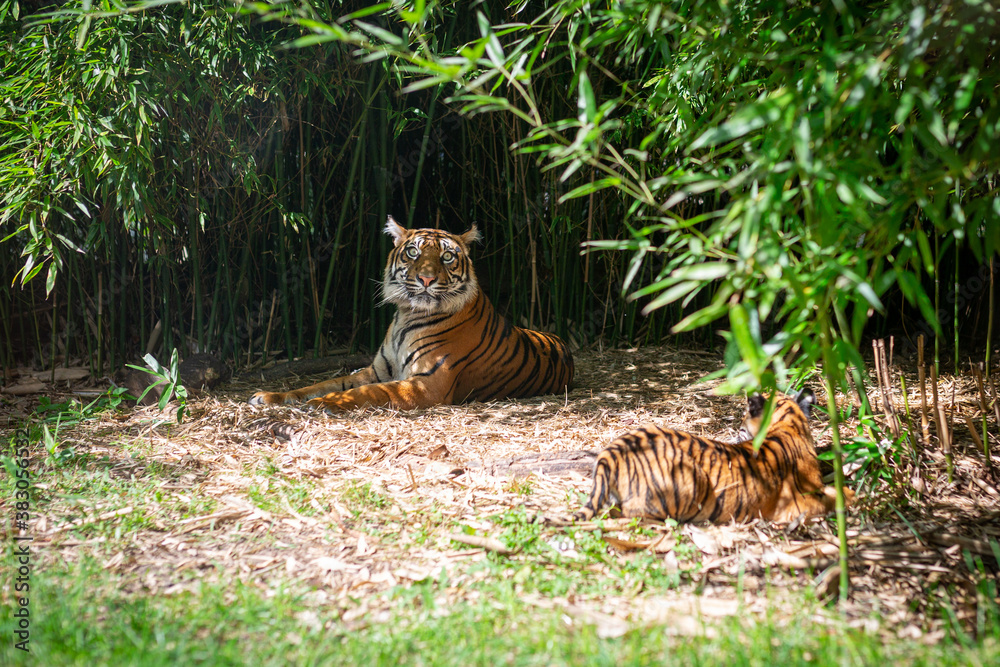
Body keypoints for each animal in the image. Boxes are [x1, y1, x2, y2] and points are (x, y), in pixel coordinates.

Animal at [250, 217, 576, 412]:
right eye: (413, 253)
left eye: (447, 256)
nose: (427, 279)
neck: (406, 315)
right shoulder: (375, 371)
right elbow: (323, 383)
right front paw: (269, 397)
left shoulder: (426, 384)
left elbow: (369, 393)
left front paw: (320, 403)